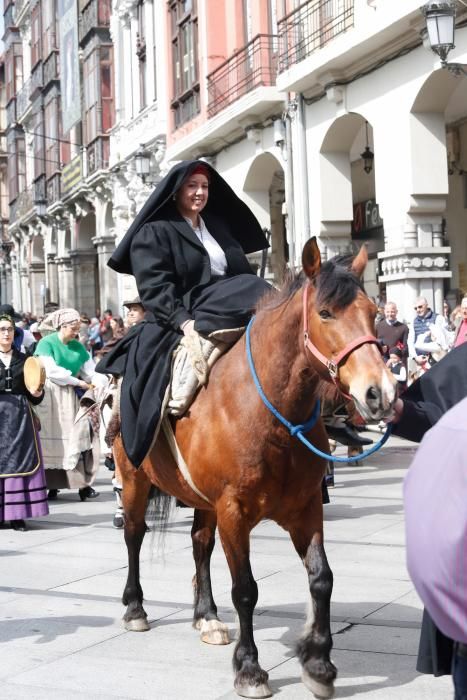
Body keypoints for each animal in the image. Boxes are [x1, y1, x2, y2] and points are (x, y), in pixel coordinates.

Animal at [114, 238, 398, 696]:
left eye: (373, 311)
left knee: (199, 542)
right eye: (325, 313)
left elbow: (322, 578)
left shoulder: (305, 508)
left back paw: (206, 616)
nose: (380, 393)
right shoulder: (234, 511)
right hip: (134, 478)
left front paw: (318, 664)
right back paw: (136, 608)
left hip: (201, 497)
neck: (271, 414)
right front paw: (249, 668)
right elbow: (245, 589)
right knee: (135, 535)